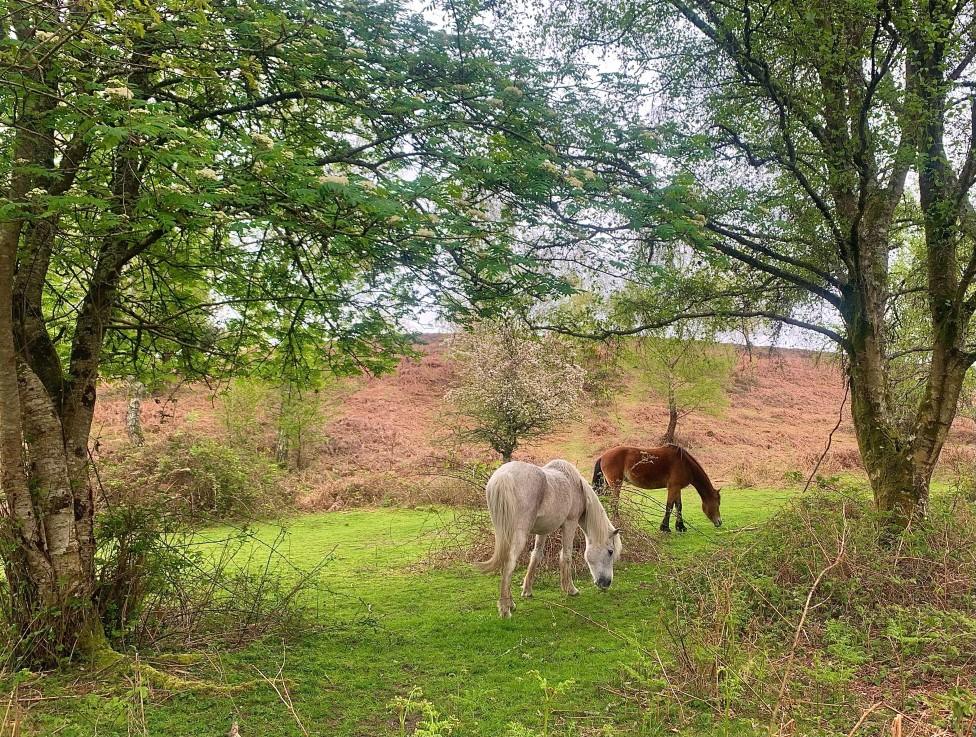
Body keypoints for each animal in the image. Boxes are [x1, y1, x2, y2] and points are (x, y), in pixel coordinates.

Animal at [476, 460, 620, 616]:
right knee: (509, 563)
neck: (576, 486)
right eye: (610, 551)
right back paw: (505, 609)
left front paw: (527, 591)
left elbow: (536, 556)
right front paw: (571, 589)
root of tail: (503, 477)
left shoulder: (542, 530)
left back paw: (510, 604)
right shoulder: (570, 523)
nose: (607, 583)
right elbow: (566, 555)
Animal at [592, 442, 720, 528]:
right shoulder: (673, 487)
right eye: (718, 503)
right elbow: (669, 506)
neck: (685, 464)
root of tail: (603, 456)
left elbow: (678, 506)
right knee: (614, 503)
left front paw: (680, 527)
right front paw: (665, 527)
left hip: (608, 485)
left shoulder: (677, 488)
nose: (720, 522)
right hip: (615, 485)